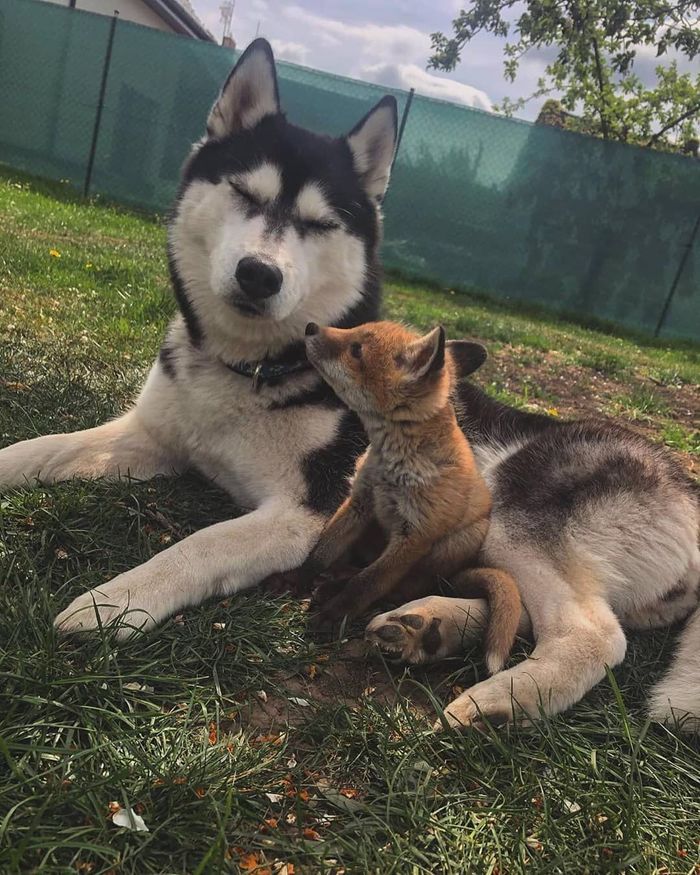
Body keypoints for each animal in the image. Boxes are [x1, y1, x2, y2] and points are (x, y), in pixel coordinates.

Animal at [0, 37, 696, 728]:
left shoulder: (307, 512)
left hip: (508, 509)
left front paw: (114, 602)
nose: (259, 275)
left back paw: (502, 699)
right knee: (512, 608)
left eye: (318, 224)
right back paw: (431, 627)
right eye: (244, 194)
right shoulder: (149, 435)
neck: (253, 369)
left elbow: (199, 545)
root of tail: (684, 482)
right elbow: (32, 450)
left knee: (596, 635)